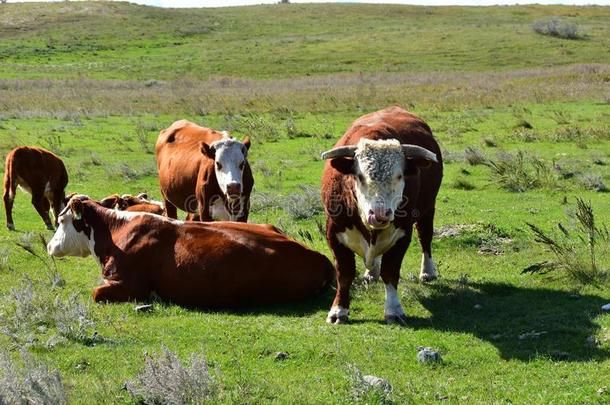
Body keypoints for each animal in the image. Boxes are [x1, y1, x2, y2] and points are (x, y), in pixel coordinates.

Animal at [46, 195, 332, 306]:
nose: (49, 246)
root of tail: (319, 258)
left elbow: (96, 292)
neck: (115, 231)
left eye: (61, 220)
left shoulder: (129, 284)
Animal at [318, 105, 442, 324]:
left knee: (425, 237)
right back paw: (371, 272)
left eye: (399, 176)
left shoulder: (403, 234)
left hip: (428, 209)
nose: (379, 214)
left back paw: (427, 271)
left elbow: (390, 272)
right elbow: (345, 274)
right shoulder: (333, 231)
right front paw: (338, 311)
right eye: (359, 176)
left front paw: (393, 309)